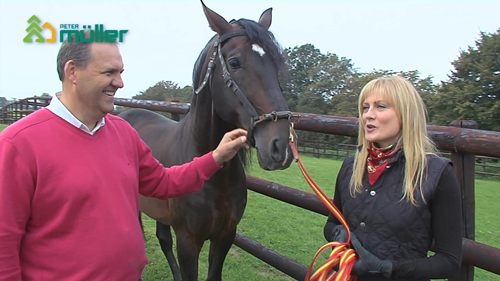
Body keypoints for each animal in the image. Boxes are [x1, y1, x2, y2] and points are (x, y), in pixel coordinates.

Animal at [119, 1, 294, 278]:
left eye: (276, 64)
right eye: (234, 62)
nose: (280, 147)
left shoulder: (225, 236)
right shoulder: (188, 241)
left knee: (162, 238)